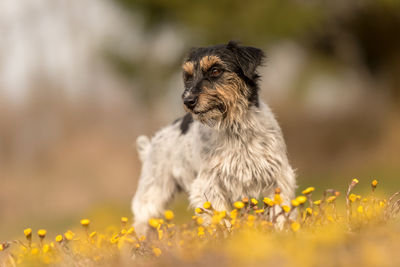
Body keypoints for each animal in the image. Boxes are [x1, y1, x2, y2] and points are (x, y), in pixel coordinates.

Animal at [130, 40, 294, 236]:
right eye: (188, 76)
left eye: (215, 70)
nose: (188, 101)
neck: (235, 129)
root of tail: (150, 145)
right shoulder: (209, 186)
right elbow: (221, 219)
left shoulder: (278, 176)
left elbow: (280, 212)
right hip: (152, 195)